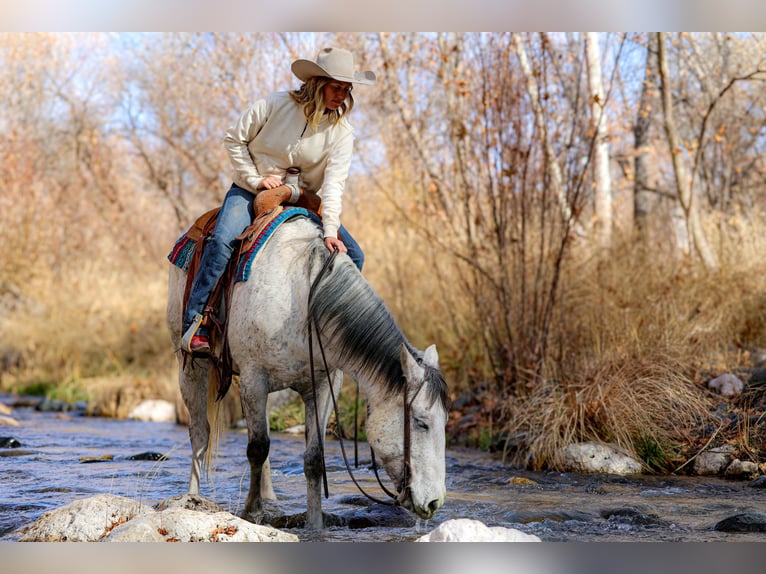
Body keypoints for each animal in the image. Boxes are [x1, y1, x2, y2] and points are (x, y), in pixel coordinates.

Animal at [166, 215, 450, 532]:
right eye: (421, 423)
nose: (434, 502)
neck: (303, 297)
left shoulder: (325, 385)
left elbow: (313, 458)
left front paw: (315, 524)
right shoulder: (254, 377)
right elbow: (257, 448)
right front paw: (252, 513)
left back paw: (270, 497)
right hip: (190, 366)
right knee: (200, 432)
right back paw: (192, 498)